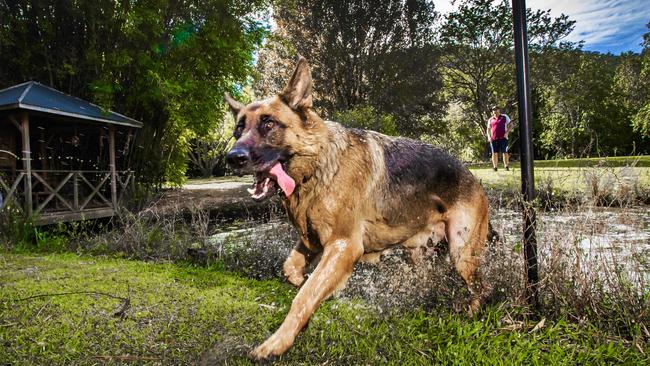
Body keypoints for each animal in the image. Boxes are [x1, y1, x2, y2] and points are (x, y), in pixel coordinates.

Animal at [227, 57, 486, 360]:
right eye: (238, 129)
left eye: (268, 124)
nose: (232, 157)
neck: (319, 166)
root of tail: (473, 177)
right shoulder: (314, 240)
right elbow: (291, 268)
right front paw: (301, 280)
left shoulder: (343, 246)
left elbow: (304, 297)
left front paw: (277, 342)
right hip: (419, 251)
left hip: (462, 252)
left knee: (481, 287)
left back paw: (473, 313)